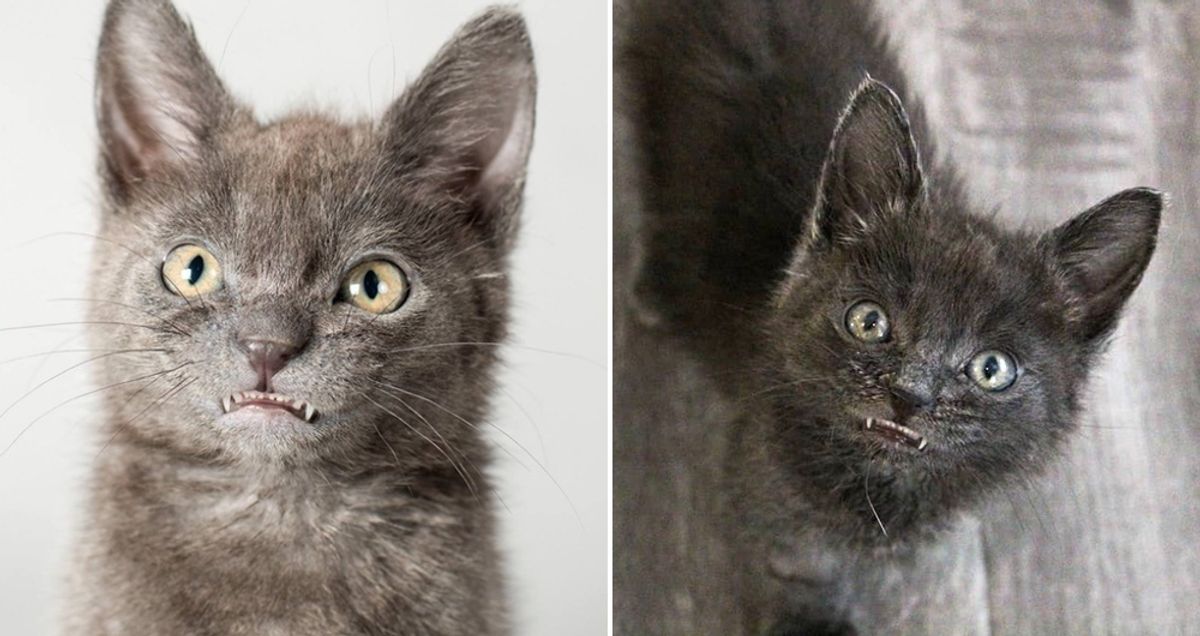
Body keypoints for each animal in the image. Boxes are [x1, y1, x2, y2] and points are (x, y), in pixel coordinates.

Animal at [624, 0, 1156, 628]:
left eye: (992, 369)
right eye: (868, 321)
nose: (910, 394)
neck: (877, 491)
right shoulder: (765, 485)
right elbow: (794, 568)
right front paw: (811, 621)